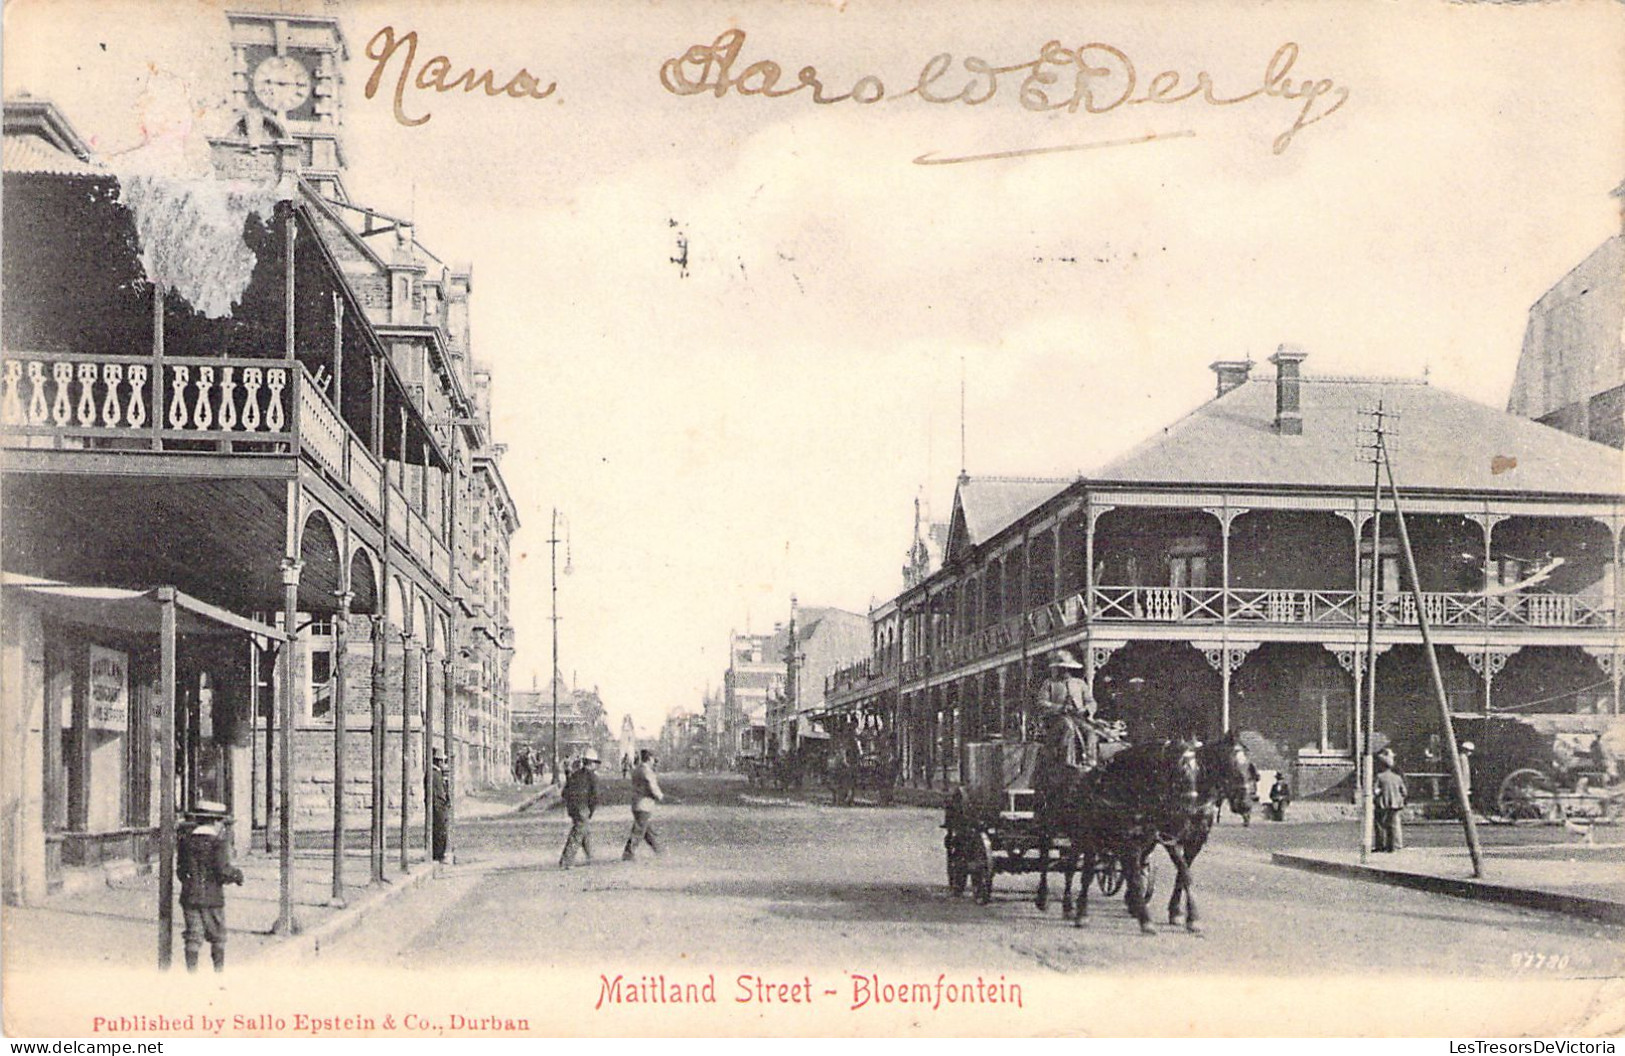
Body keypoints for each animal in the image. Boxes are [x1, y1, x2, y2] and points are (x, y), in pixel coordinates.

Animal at [1033, 731, 1248, 929]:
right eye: (1182, 770)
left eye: (1247, 767)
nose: (1245, 804)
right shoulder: (1167, 838)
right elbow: (1180, 873)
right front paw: (1186, 916)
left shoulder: (1192, 840)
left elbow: (1181, 874)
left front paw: (1179, 913)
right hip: (1055, 830)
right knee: (1049, 860)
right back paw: (1045, 898)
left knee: (1077, 866)